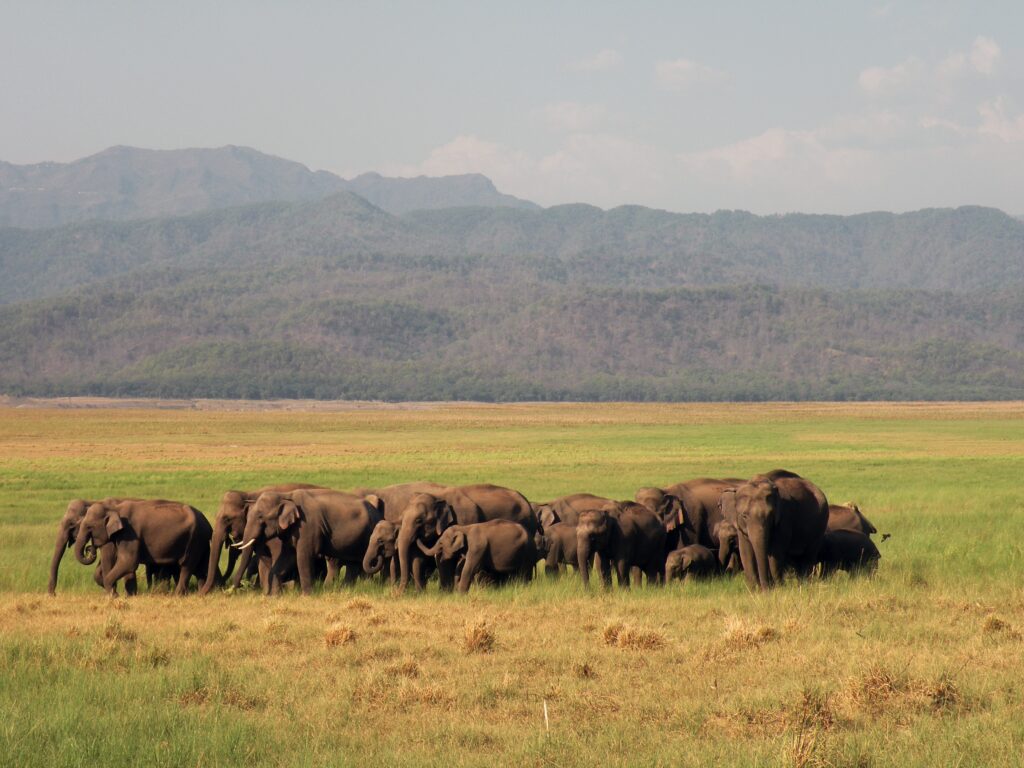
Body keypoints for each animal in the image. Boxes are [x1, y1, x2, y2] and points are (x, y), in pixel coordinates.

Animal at [74, 499, 213, 595]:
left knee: (186, 565)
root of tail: (208, 524)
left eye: (89, 526)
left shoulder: (130, 533)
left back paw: (178, 595)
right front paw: (126, 595)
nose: (90, 548)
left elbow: (128, 562)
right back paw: (201, 592)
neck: (115, 508)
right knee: (200, 567)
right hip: (201, 541)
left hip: (195, 539)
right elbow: (123, 562)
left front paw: (114, 596)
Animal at [237, 489, 383, 595]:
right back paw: (345, 590)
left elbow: (304, 556)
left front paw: (306, 595)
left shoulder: (307, 526)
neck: (286, 495)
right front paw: (274, 596)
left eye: (260, 517)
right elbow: (285, 558)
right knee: (353, 564)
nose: (236, 588)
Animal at [395, 484, 535, 592]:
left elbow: (447, 557)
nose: (397, 594)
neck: (438, 496)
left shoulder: (465, 518)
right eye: (401, 517)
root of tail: (528, 503)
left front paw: (446, 593)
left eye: (419, 520)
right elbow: (423, 556)